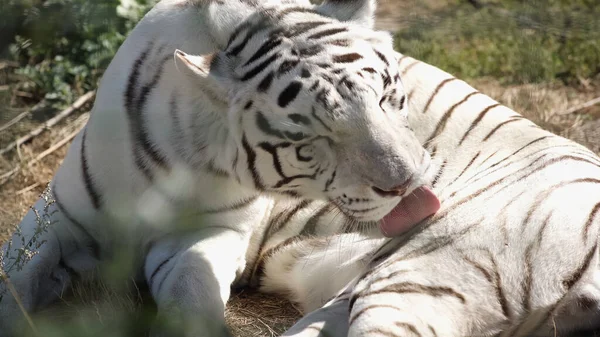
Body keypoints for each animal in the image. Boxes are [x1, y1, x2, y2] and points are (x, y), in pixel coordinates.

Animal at [0, 0, 440, 336]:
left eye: (384, 97)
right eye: (310, 140)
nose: (404, 184)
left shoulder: (215, 232)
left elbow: (192, 289)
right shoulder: (57, 216)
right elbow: (16, 275)